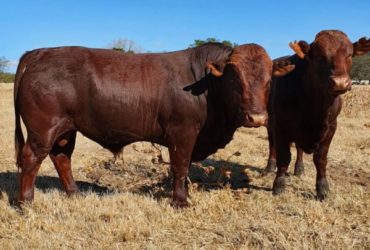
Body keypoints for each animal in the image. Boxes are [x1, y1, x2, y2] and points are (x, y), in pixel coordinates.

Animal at [14, 43, 294, 207]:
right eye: (235, 79)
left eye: (269, 80)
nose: (257, 118)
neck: (207, 85)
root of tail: (40, 52)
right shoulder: (182, 133)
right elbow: (180, 167)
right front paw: (180, 201)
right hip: (43, 129)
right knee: (31, 158)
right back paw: (25, 202)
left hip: (66, 129)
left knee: (61, 157)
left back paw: (74, 193)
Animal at [264, 30, 370, 199]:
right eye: (320, 56)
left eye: (350, 55)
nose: (340, 82)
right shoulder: (281, 126)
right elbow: (284, 157)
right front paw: (278, 185)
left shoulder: (331, 127)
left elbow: (321, 159)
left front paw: (322, 189)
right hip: (270, 124)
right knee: (272, 145)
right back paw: (270, 167)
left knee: (299, 149)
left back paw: (299, 168)